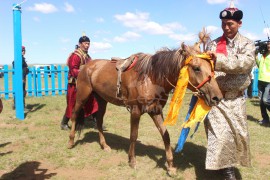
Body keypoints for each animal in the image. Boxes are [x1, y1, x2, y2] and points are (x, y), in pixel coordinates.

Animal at [68, 30, 223, 174]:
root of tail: (86, 66)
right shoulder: (135, 111)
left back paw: (104, 145)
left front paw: (170, 165)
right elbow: (133, 135)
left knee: (99, 121)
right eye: (196, 68)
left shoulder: (155, 111)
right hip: (82, 96)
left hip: (102, 100)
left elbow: (166, 135)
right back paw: (70, 142)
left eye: (211, 66)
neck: (151, 78)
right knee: (74, 115)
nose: (217, 97)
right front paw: (132, 160)